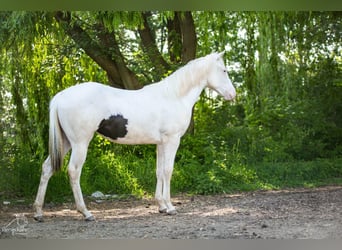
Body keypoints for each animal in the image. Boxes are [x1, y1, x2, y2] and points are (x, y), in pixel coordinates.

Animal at [32, 50, 235, 221]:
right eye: (224, 70)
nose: (233, 94)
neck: (174, 96)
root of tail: (60, 97)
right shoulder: (172, 141)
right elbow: (168, 171)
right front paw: (170, 207)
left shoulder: (161, 143)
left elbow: (159, 171)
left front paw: (161, 205)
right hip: (80, 143)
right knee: (74, 171)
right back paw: (86, 213)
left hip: (66, 143)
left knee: (46, 168)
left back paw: (38, 212)